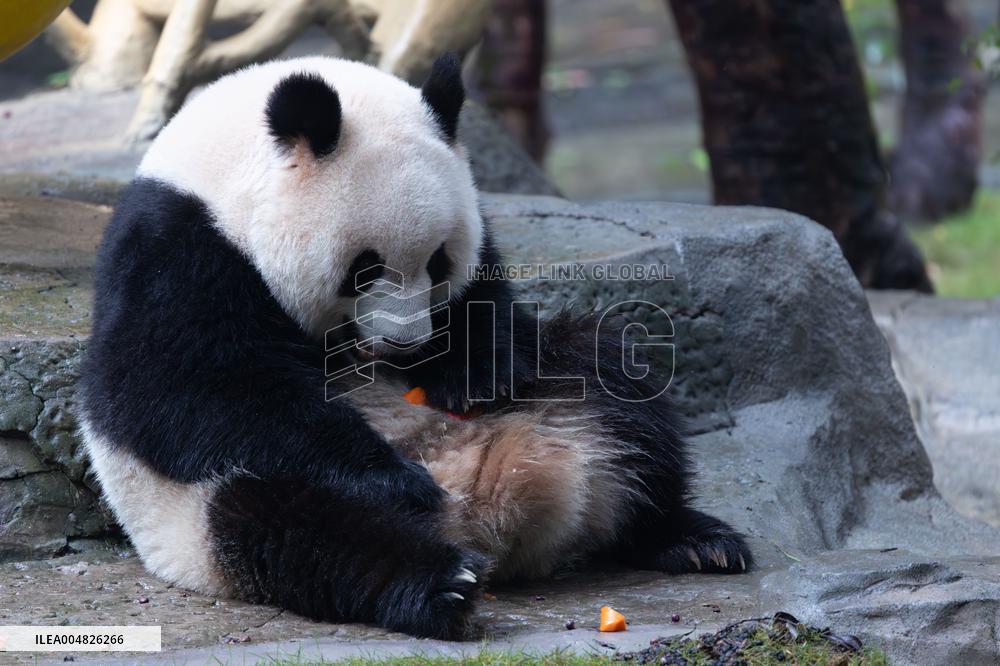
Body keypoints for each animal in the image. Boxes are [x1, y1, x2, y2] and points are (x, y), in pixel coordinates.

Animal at [79, 53, 752, 640]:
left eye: (438, 261)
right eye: (363, 269)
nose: (409, 345)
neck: (222, 173)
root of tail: (486, 515)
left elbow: (490, 302)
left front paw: (473, 374)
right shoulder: (177, 247)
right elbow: (178, 389)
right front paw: (391, 478)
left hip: (562, 401)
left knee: (615, 379)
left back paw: (691, 539)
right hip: (202, 511)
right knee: (300, 527)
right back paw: (439, 583)